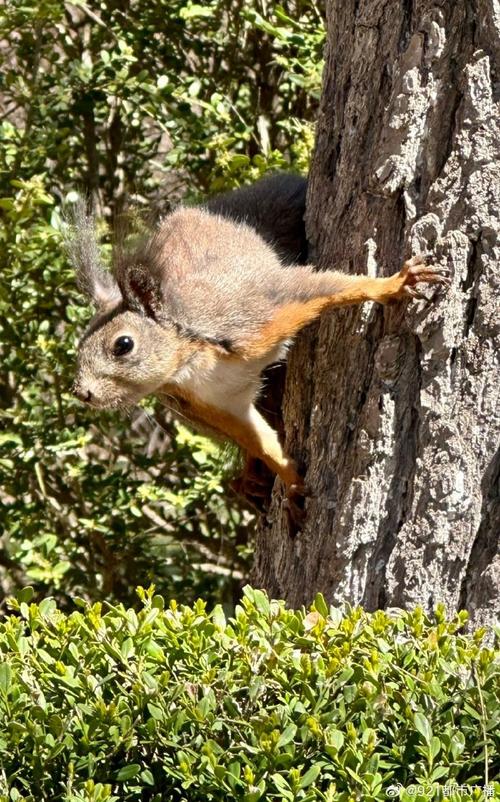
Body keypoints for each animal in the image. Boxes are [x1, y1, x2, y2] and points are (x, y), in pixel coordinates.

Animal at [70, 175, 450, 512]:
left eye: (123, 345)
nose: (83, 393)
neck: (192, 362)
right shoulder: (218, 404)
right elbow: (260, 440)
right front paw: (291, 480)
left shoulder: (255, 313)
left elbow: (326, 286)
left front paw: (394, 284)